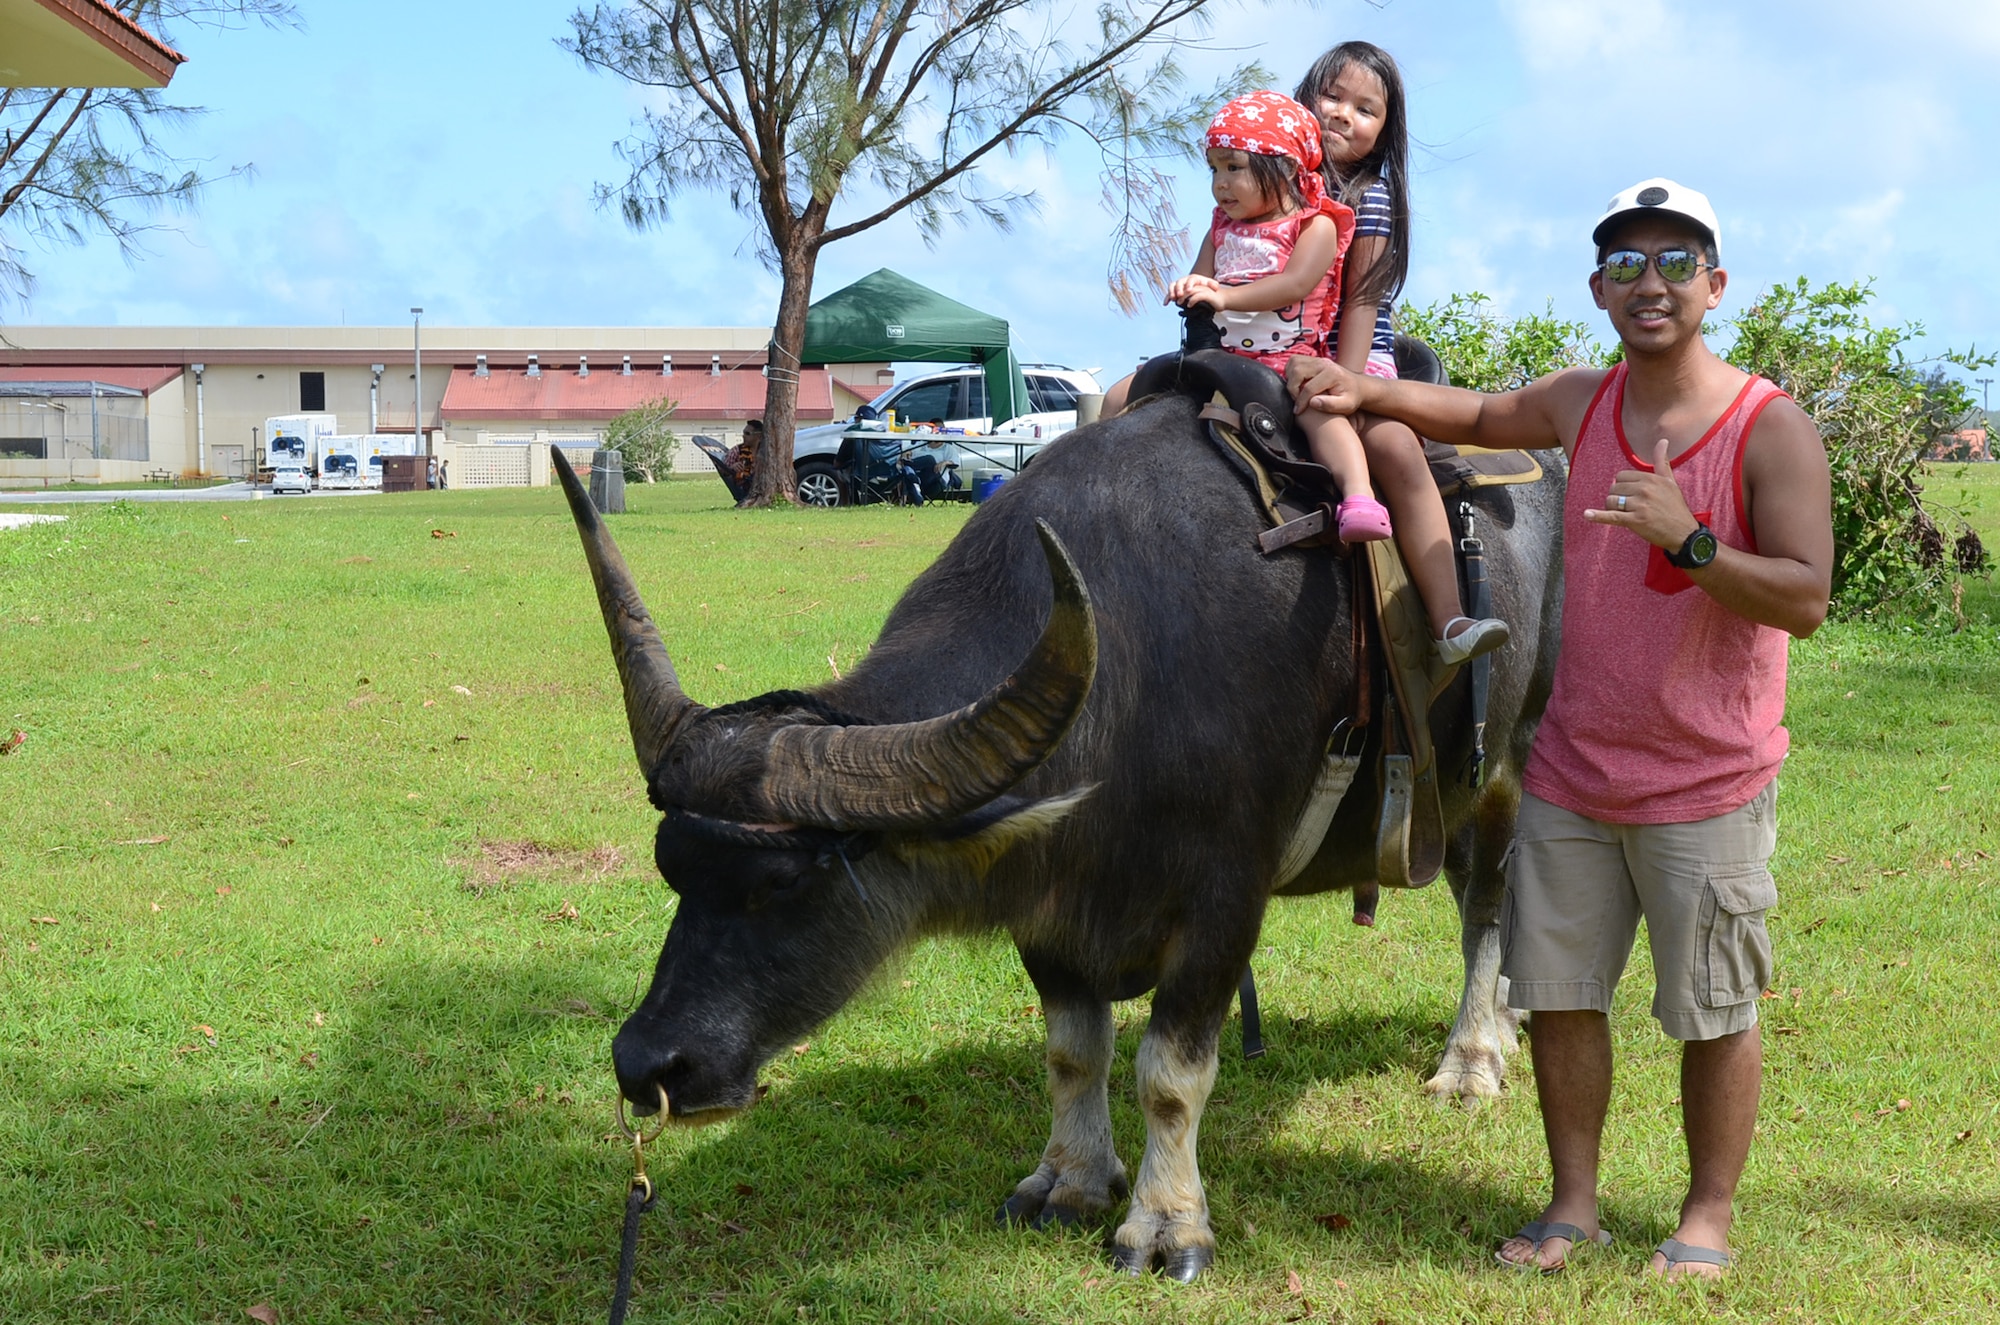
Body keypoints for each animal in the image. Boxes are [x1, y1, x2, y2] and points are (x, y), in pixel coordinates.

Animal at [560, 396, 1560, 1288]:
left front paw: (1164, 1224)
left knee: (1488, 903)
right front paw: (1072, 1181)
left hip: (1510, 764)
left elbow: (1169, 1071)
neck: (1131, 668)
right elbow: (1075, 1049)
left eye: (785, 881)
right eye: (673, 867)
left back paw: (1473, 1058)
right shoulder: (1047, 901)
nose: (647, 1062)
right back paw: (1508, 1021)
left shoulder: (1224, 900)